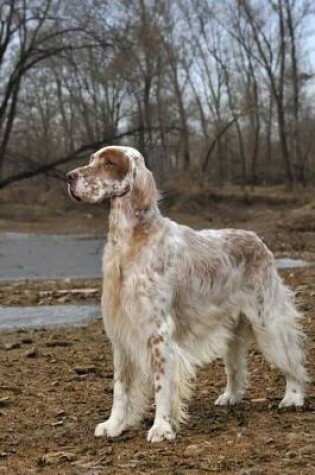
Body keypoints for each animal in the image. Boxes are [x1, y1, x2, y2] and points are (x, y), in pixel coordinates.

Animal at [65, 145, 308, 442]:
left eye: (109, 163)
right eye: (91, 160)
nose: (69, 176)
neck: (130, 242)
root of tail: (257, 240)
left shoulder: (158, 332)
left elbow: (161, 386)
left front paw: (161, 428)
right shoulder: (120, 332)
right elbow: (120, 387)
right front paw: (114, 424)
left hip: (268, 320)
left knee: (292, 359)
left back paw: (293, 397)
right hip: (234, 327)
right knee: (235, 367)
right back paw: (230, 396)